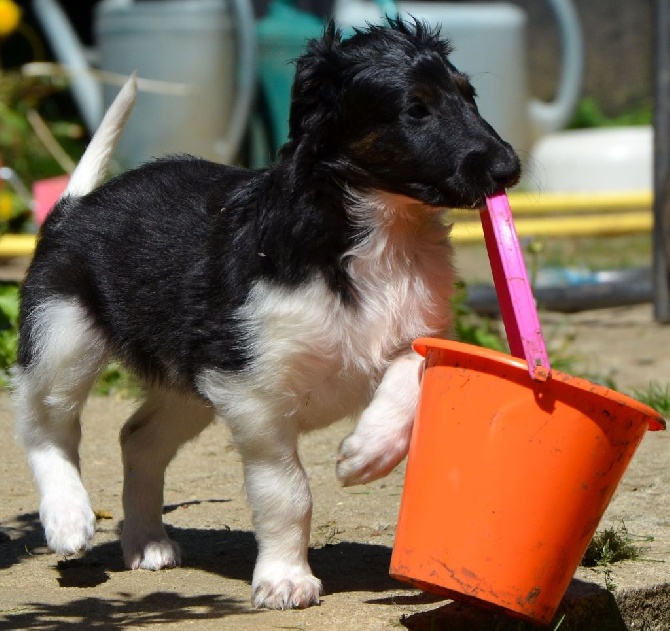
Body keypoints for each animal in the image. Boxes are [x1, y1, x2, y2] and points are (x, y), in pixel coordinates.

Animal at [13, 19, 524, 608]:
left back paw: (145, 542)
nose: (509, 169)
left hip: (188, 382)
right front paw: (286, 578)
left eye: (469, 95)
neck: (376, 236)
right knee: (44, 425)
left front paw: (367, 452)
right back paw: (68, 517)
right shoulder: (254, 397)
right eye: (415, 109)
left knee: (137, 438)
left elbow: (407, 377)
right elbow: (287, 492)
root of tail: (74, 207)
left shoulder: (413, 337)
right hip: (62, 338)